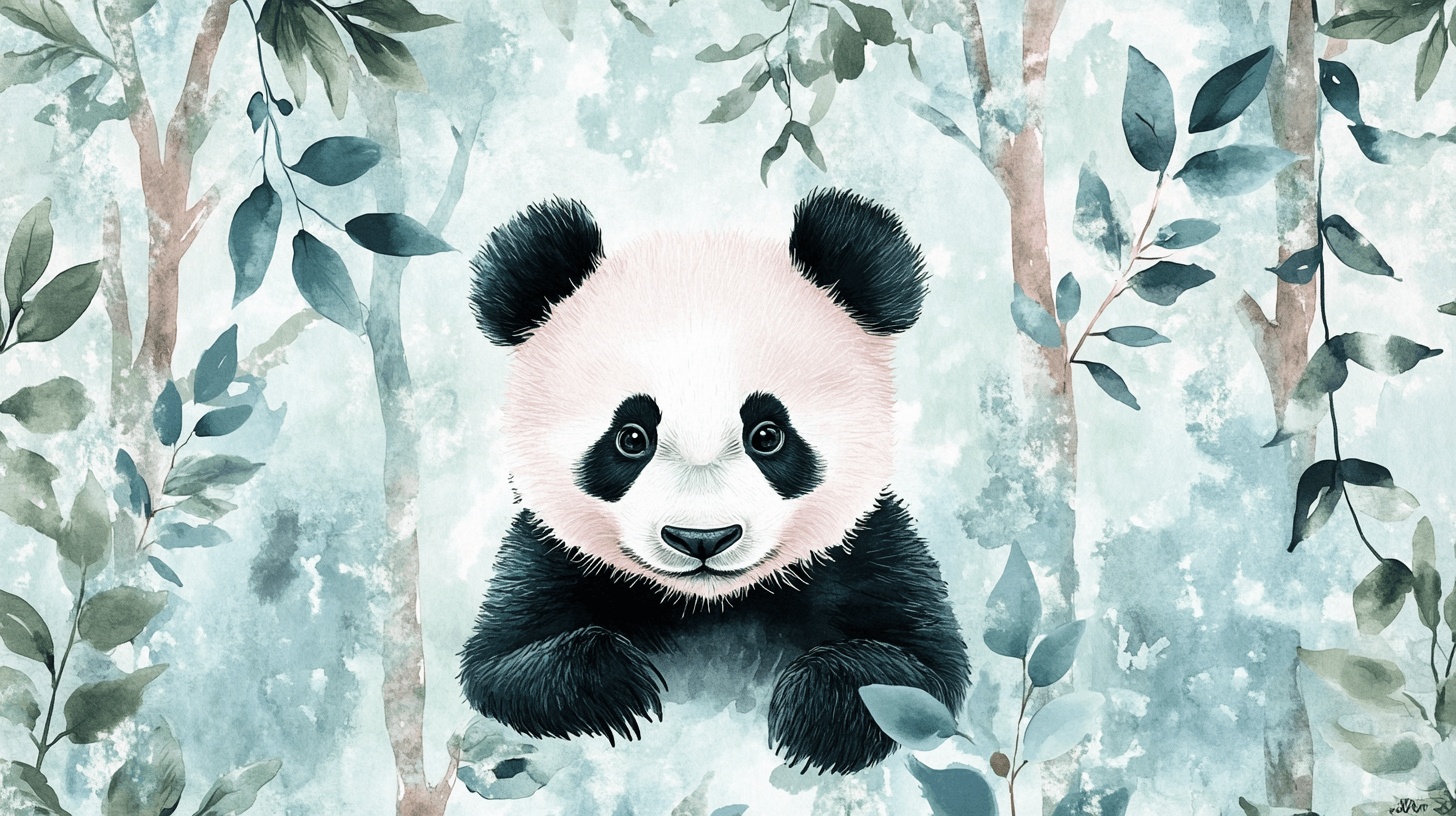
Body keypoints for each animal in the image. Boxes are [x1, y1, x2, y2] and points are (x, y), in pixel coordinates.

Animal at [459, 189, 969, 775]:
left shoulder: (868, 554)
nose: (702, 539)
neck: (710, 604)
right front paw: (621, 690)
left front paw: (813, 717)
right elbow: (501, 666)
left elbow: (920, 675)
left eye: (767, 435)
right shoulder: (548, 561)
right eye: (630, 438)